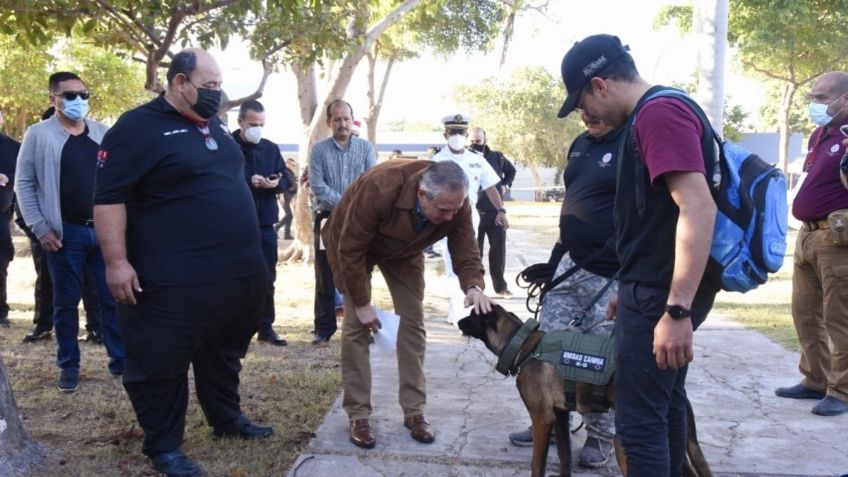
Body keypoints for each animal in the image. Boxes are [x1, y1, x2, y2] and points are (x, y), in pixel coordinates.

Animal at [458, 304, 708, 476]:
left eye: (472, 315)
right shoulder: (559, 417)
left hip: (626, 445)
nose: (459, 321)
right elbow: (565, 459)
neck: (524, 346)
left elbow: (537, 465)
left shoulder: (542, 418)